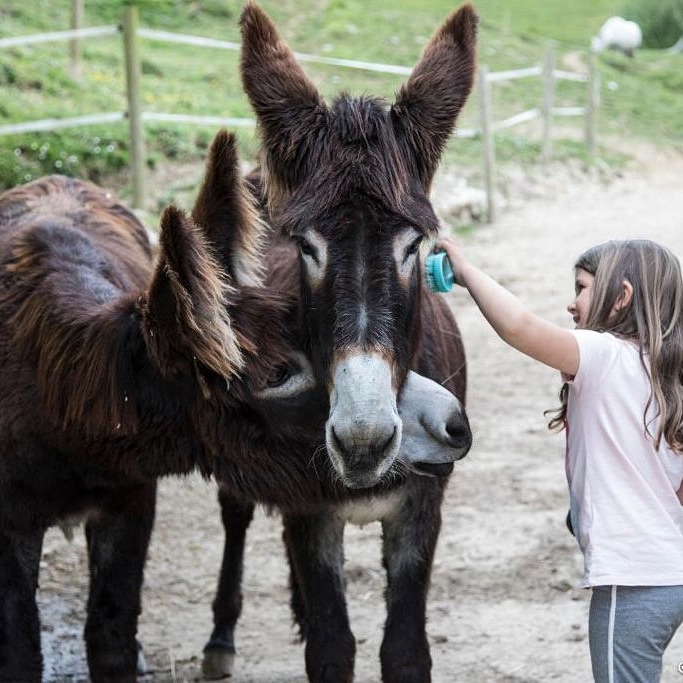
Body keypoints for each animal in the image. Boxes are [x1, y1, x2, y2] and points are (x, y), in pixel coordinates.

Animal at [202, 4, 477, 681]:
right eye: (306, 247)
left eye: (415, 246)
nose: (363, 441)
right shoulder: (311, 517)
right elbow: (332, 647)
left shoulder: (423, 512)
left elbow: (403, 649)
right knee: (236, 511)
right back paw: (221, 637)